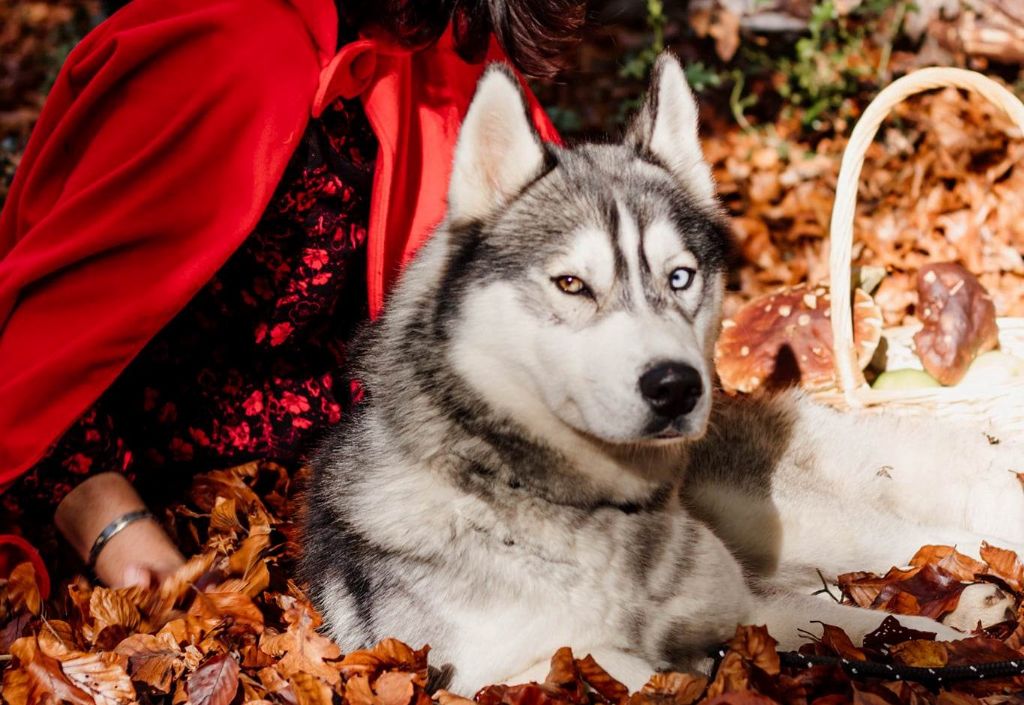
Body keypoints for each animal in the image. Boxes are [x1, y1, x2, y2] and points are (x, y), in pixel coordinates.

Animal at [301, 55, 1024, 692]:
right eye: (572, 284)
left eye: (680, 277)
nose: (676, 387)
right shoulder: (498, 671)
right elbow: (638, 667)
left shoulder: (745, 609)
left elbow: (875, 630)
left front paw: (954, 649)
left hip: (794, 519)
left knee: (940, 538)